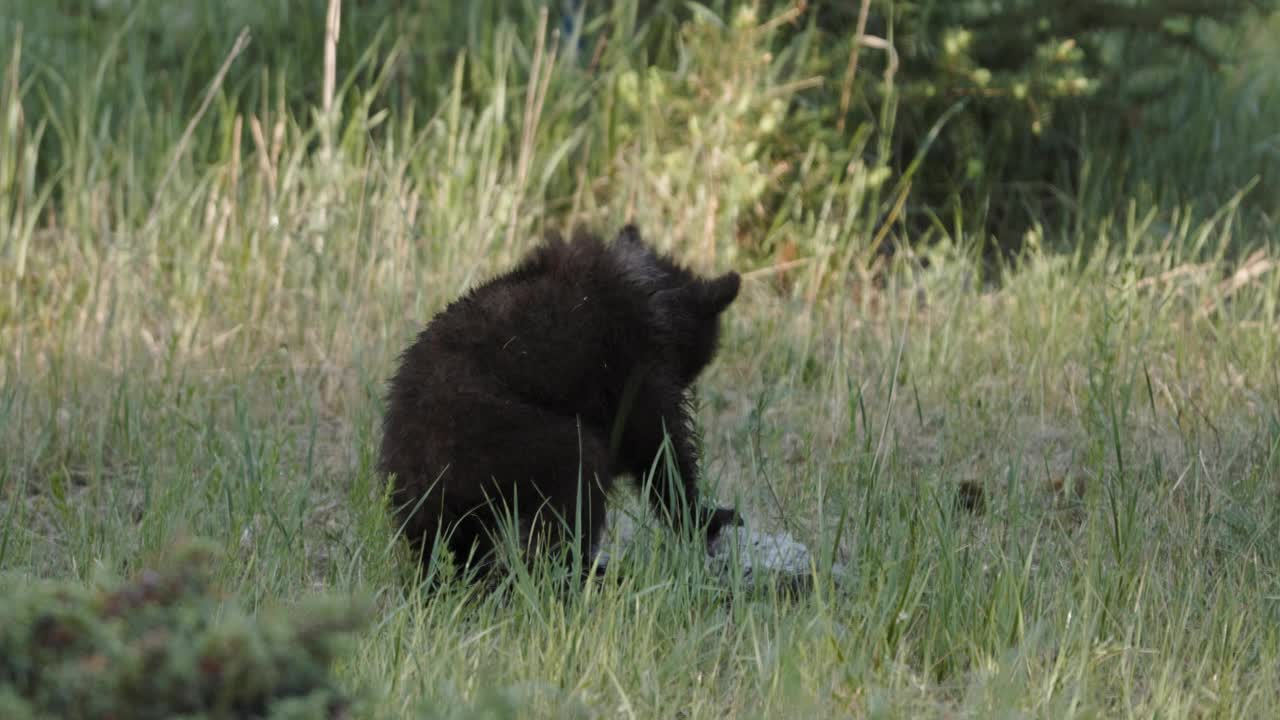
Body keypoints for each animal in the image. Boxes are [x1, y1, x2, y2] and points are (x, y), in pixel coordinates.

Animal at [376, 224, 742, 576]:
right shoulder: (633, 365)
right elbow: (659, 448)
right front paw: (710, 517)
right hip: (497, 437)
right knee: (577, 473)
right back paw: (578, 569)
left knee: (451, 544)